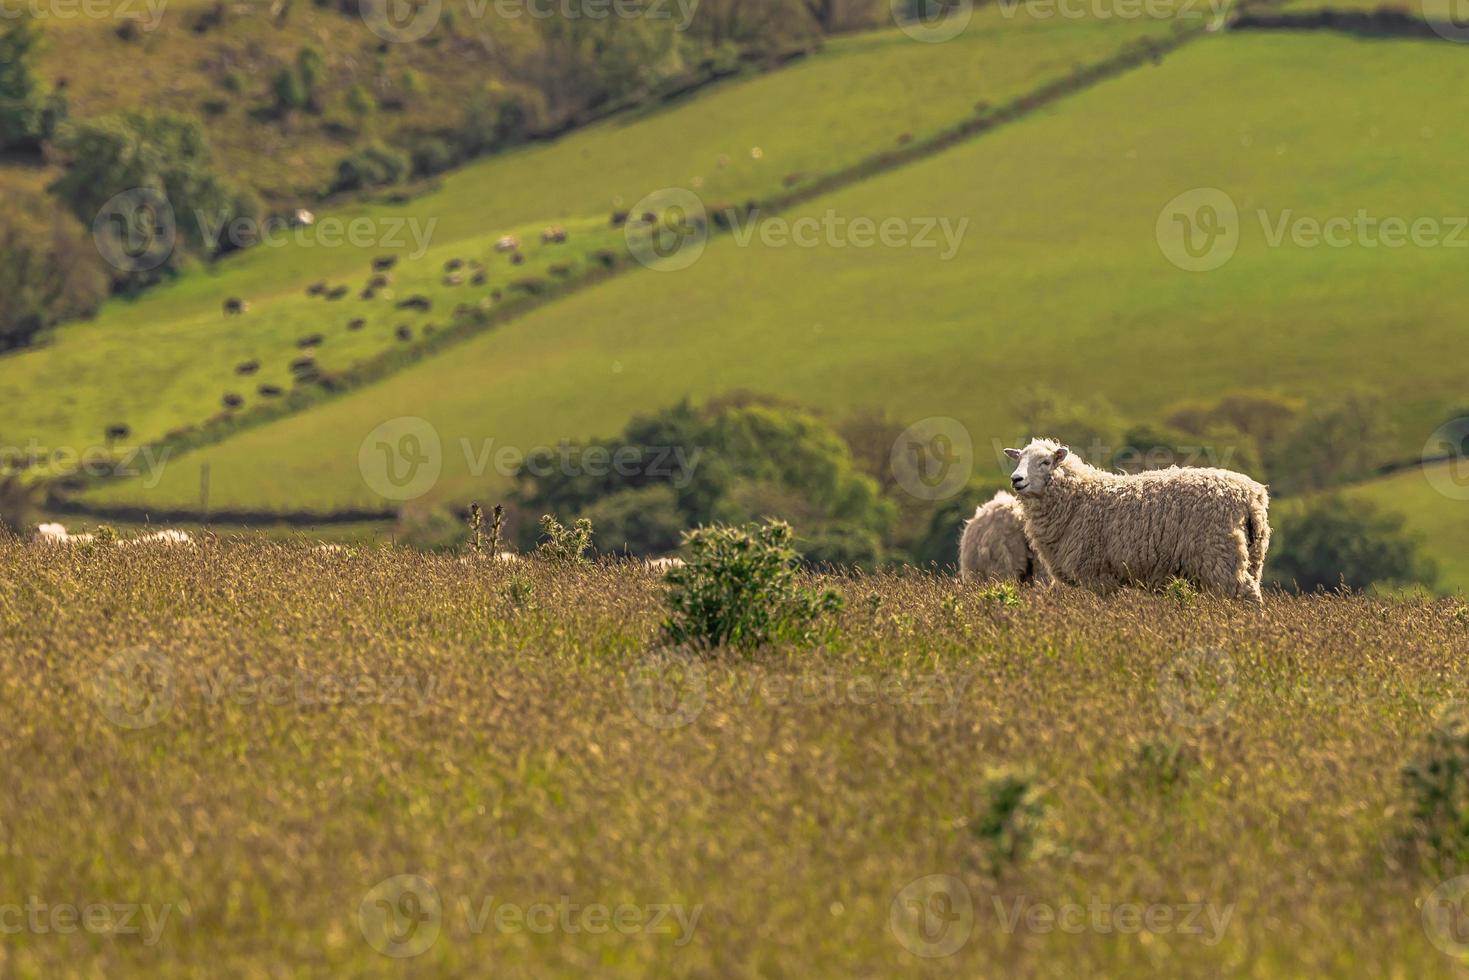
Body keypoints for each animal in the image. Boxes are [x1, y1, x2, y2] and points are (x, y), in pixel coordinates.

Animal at [1004, 437, 1269, 605]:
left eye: (1045, 462)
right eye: (1018, 460)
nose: (1016, 479)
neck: (1078, 497)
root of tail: (1250, 495)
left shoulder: (1097, 573)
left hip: (1221, 554)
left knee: (1247, 595)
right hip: (1253, 556)